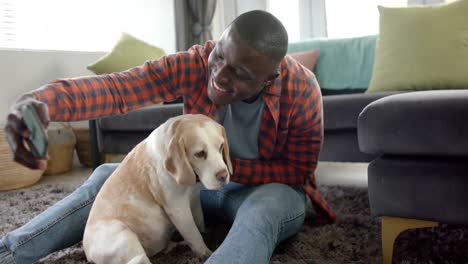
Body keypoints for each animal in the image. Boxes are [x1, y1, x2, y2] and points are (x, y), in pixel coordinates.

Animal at [83, 114, 232, 264]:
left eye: (220, 147)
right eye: (200, 153)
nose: (223, 176)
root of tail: (88, 254)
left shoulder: (194, 200)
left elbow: (200, 222)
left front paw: (206, 232)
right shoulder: (178, 209)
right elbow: (194, 235)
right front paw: (207, 253)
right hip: (125, 236)